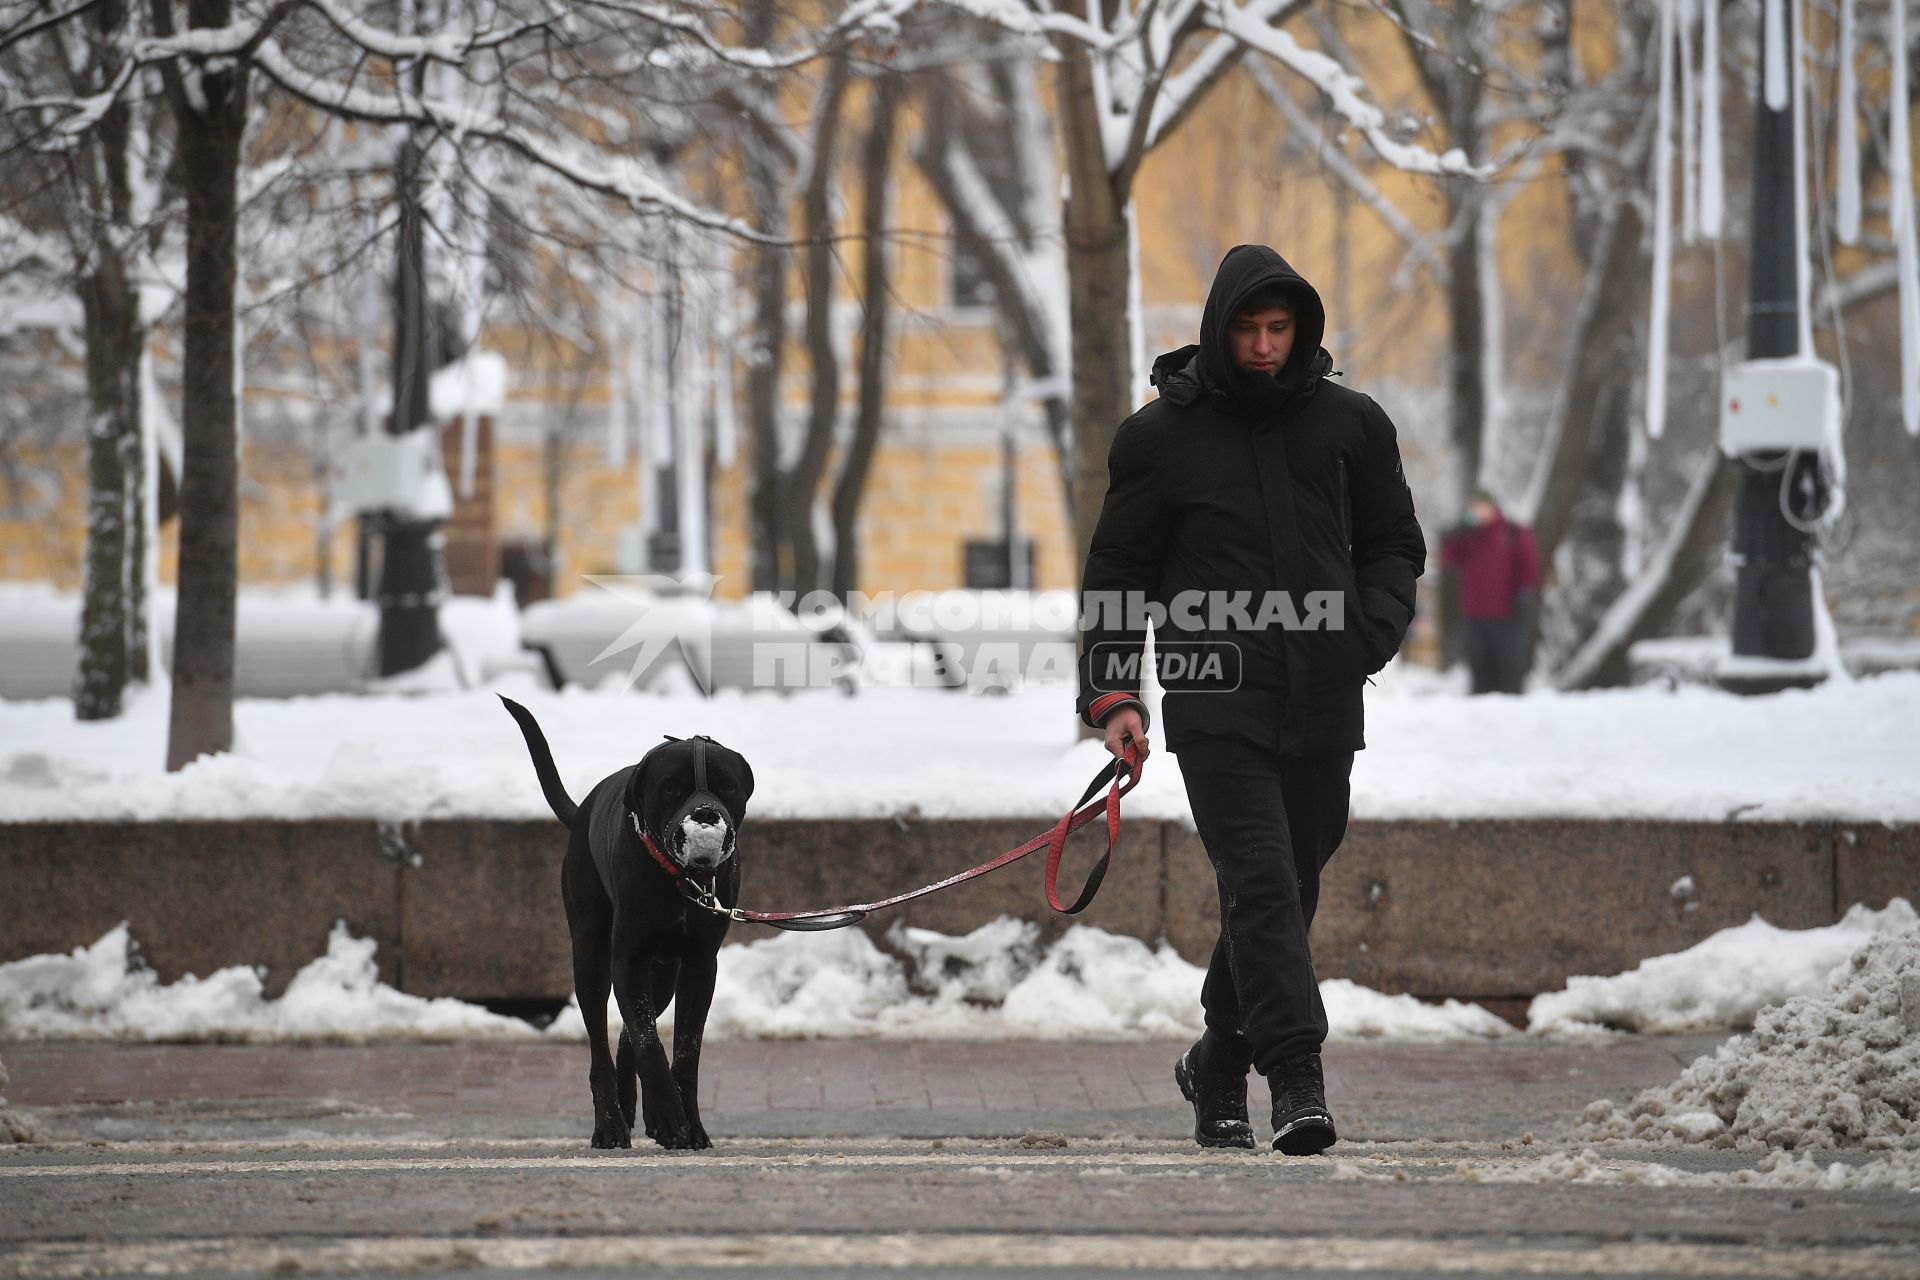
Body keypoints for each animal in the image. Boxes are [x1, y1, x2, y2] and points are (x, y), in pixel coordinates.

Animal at [499, 702, 752, 1151]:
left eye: (727, 785)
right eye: (671, 788)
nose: (705, 815)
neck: (680, 879)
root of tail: (583, 809)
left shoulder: (700, 965)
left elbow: (685, 1049)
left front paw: (689, 1124)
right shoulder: (628, 958)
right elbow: (649, 1040)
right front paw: (669, 1116)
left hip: (663, 973)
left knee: (628, 1033)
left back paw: (635, 1107)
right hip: (591, 955)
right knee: (601, 1042)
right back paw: (610, 1124)